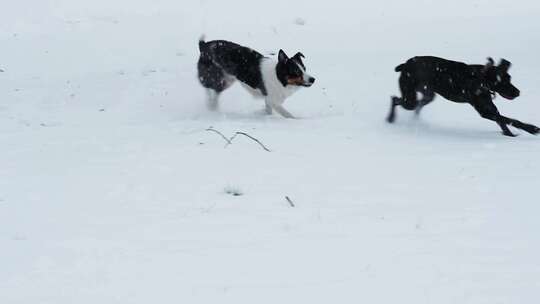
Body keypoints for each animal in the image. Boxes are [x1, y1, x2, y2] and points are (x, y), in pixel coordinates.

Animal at [386, 56, 536, 137]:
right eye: (502, 81)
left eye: (509, 78)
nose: (518, 92)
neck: (481, 79)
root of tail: (405, 64)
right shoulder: (485, 112)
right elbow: (510, 120)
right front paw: (533, 129)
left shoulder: (490, 108)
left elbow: (502, 121)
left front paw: (509, 135)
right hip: (409, 98)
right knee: (395, 99)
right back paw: (390, 119)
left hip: (428, 95)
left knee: (416, 105)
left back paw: (415, 119)